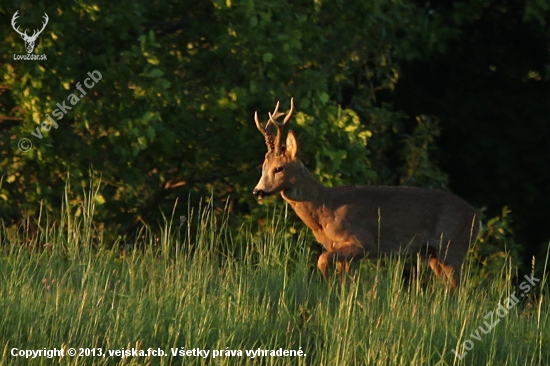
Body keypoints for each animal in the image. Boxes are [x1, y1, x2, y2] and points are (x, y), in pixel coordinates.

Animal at [252, 98, 480, 290]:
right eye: (263, 167)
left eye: (279, 168)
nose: (258, 191)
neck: (325, 208)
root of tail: (477, 218)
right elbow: (344, 280)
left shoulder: (363, 241)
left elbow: (322, 260)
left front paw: (329, 289)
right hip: (434, 254)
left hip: (451, 245)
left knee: (459, 288)